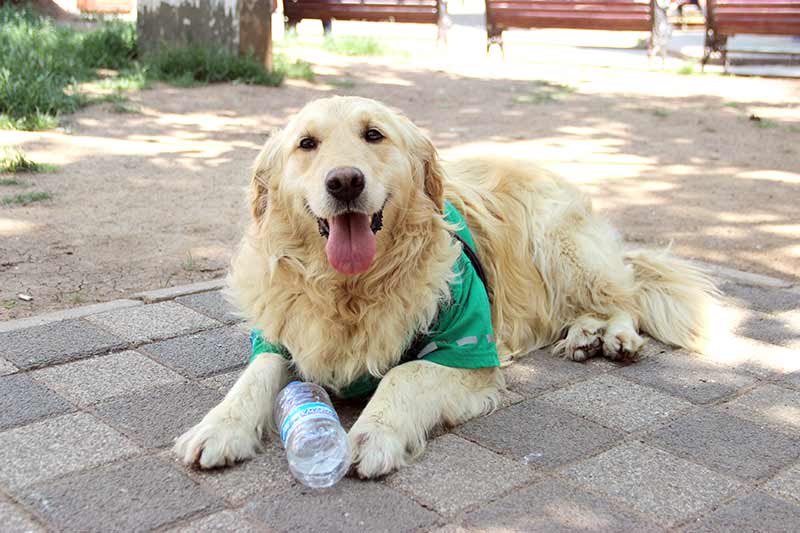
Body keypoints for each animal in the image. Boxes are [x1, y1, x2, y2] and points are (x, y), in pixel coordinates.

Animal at [173, 95, 712, 478]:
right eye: (307, 144)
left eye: (374, 134)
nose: (345, 181)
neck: (351, 290)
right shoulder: (279, 334)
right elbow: (254, 376)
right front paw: (218, 426)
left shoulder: (468, 351)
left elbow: (403, 374)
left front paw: (373, 434)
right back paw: (584, 335)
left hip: (561, 245)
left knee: (624, 298)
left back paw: (611, 336)